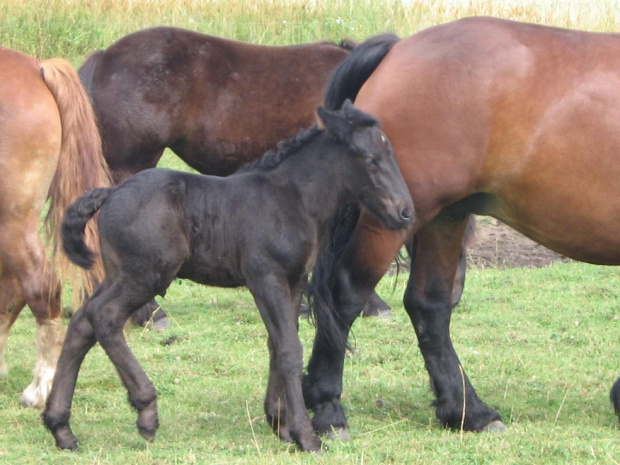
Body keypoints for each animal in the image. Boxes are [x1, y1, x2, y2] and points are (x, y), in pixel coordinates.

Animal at [41, 100, 414, 450]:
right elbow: (289, 349)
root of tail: (111, 192)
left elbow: (278, 342)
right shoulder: (266, 277)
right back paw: (145, 410)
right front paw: (306, 436)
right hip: (147, 274)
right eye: (370, 159)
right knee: (104, 316)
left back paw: (61, 428)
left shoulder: (294, 281)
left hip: (118, 272)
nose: (406, 212)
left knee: (82, 323)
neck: (292, 200)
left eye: (392, 154)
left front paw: (280, 422)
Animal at [302, 17, 620, 438]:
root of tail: (399, 48)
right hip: (394, 219)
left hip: (444, 218)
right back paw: (328, 409)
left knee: (428, 305)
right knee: (345, 294)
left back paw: (468, 411)